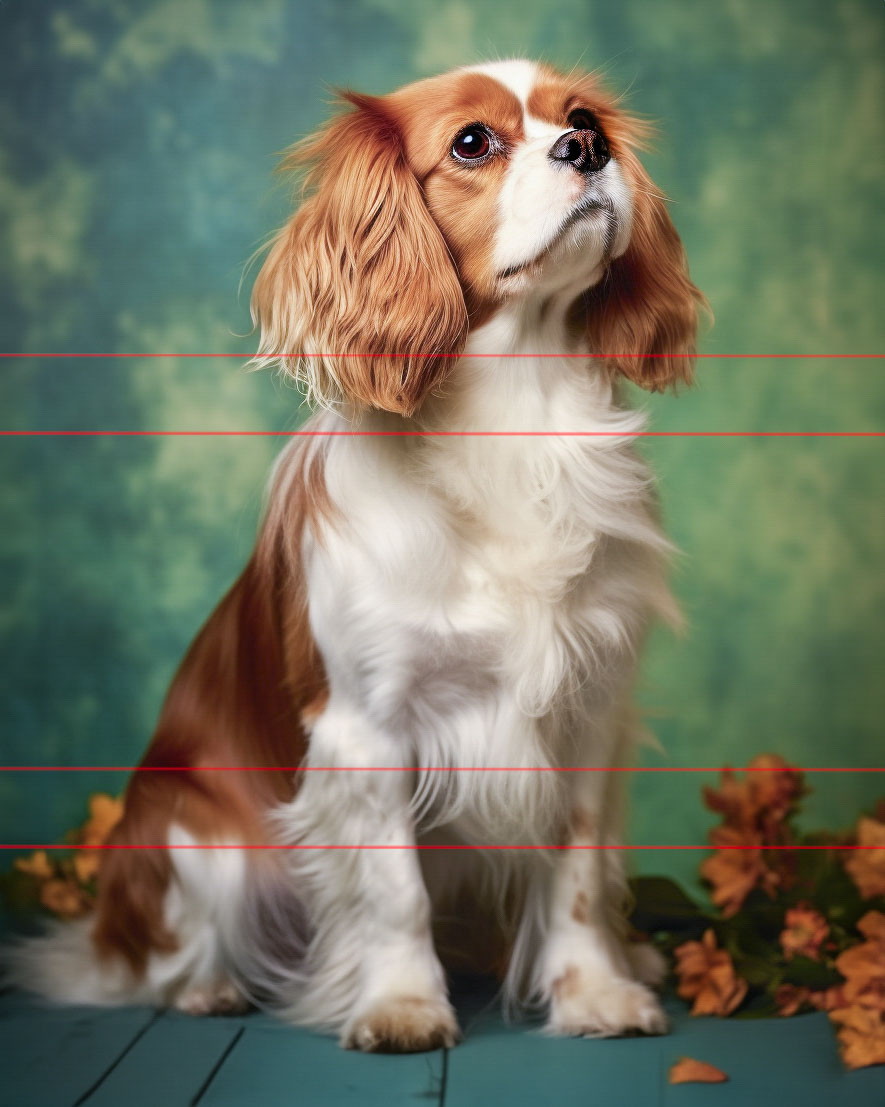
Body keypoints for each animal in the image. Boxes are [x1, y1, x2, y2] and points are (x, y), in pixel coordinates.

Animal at [12, 62, 704, 1053]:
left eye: (579, 117)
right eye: (471, 143)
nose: (586, 147)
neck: (516, 421)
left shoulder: (585, 721)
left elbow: (574, 872)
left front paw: (594, 992)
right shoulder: (365, 731)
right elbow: (391, 892)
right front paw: (402, 1004)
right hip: (194, 841)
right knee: (159, 956)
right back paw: (206, 987)